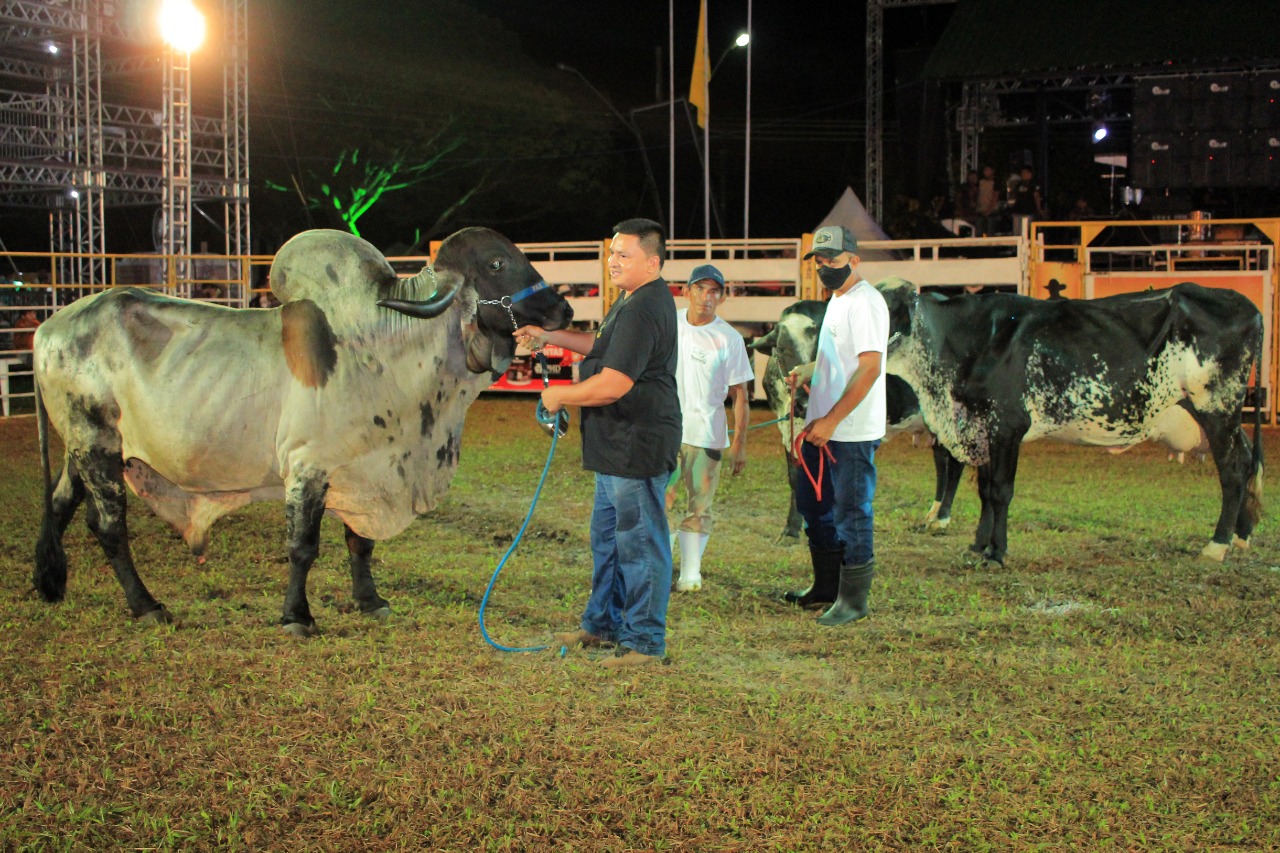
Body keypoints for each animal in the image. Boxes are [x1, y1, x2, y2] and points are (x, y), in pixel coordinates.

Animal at [35, 225, 576, 630]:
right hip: (96, 443)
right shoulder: (307, 467)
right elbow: (302, 547)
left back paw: (47, 582)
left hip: (85, 449)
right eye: (497, 264)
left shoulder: (366, 466)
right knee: (109, 526)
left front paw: (370, 601)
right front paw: (297, 616)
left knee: (60, 504)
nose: (564, 309)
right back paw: (146, 606)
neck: (383, 347)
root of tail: (48, 327)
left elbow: (360, 543)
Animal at [880, 275, 1259, 560]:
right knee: (1248, 460)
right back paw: (1240, 536)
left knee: (1233, 468)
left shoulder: (1008, 425)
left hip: (1217, 406)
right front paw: (978, 544)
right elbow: (985, 490)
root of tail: (1245, 305)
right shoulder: (982, 426)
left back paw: (1217, 545)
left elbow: (1000, 490)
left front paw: (996, 551)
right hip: (1220, 415)